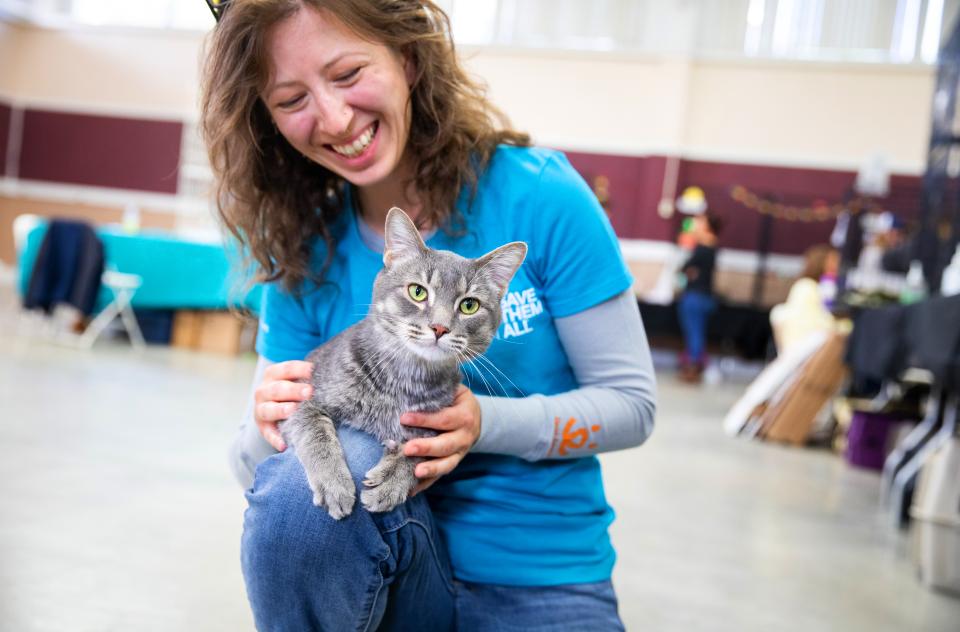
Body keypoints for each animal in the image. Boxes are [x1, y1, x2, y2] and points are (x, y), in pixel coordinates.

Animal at [282, 207, 528, 520]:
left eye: (469, 305)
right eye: (418, 292)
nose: (439, 328)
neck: (405, 379)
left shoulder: (434, 429)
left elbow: (417, 451)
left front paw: (393, 478)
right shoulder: (302, 399)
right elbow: (315, 432)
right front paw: (333, 482)